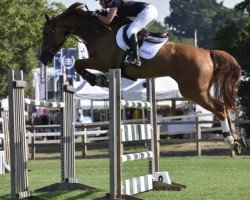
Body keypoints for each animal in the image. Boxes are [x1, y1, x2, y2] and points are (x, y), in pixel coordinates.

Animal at [40, 2, 247, 152]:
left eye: (47, 32)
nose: (43, 58)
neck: (97, 31)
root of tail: (207, 53)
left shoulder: (103, 63)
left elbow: (78, 63)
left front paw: (97, 80)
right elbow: (78, 64)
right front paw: (98, 79)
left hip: (193, 91)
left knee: (220, 109)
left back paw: (230, 140)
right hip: (200, 90)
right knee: (225, 108)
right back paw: (237, 140)